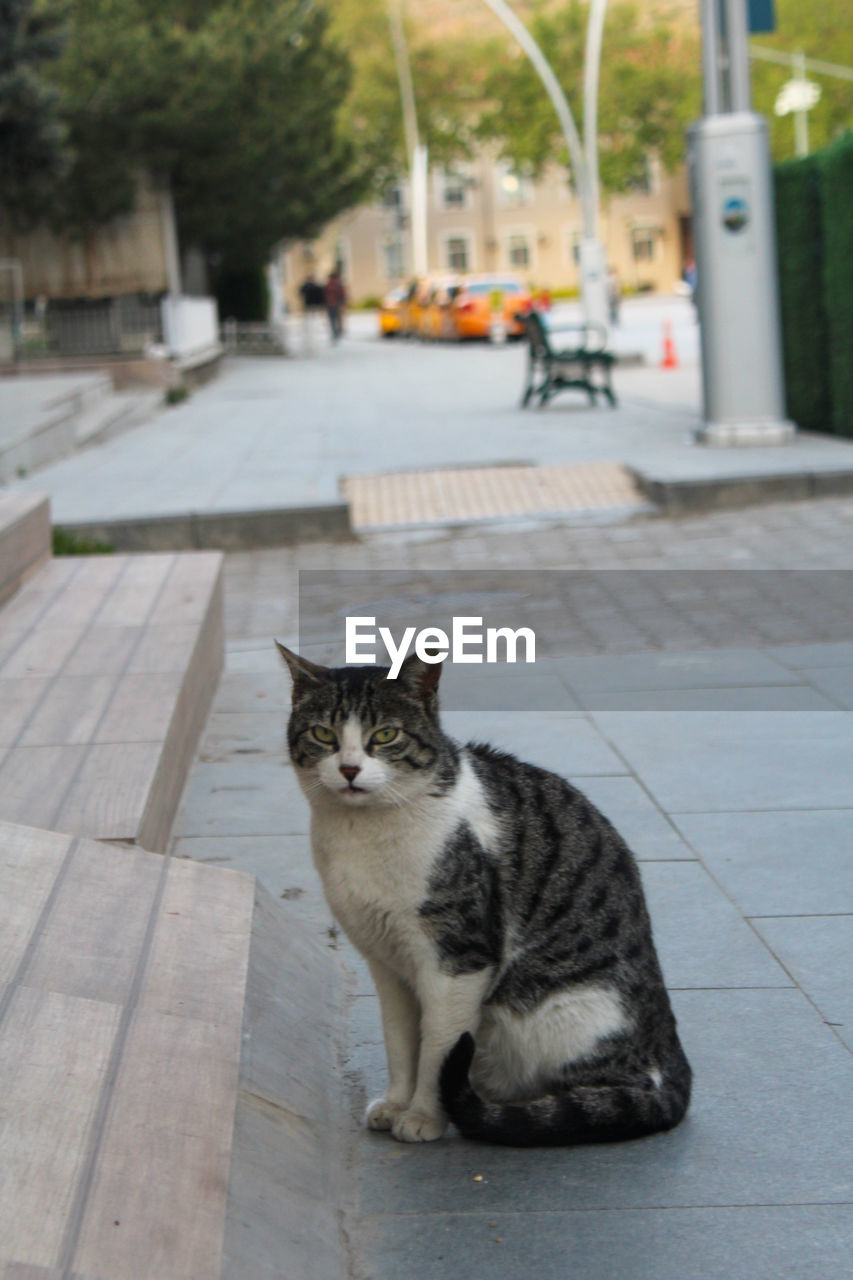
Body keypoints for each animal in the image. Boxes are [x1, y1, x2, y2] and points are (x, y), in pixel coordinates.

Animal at [279, 645, 691, 1146]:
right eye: (323, 734)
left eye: (386, 735)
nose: (350, 770)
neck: (362, 833)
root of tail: (668, 1048)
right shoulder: (386, 962)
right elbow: (399, 1040)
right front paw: (396, 1103)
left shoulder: (458, 959)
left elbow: (438, 1046)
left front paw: (422, 1116)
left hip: (565, 1015)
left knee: (606, 1096)